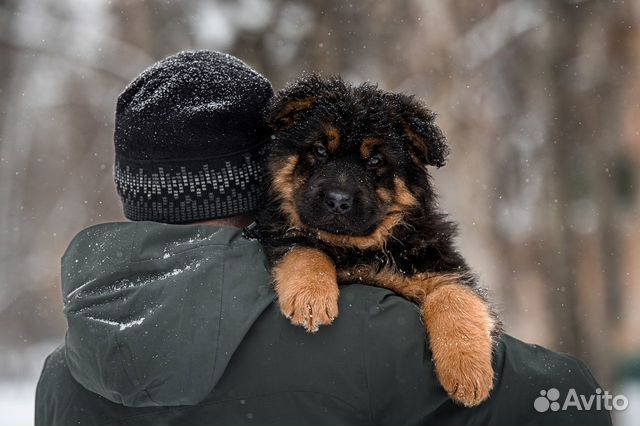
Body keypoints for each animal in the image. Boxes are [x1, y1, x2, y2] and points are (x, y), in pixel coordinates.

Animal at [251, 75, 500, 406]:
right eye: (319, 149)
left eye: (375, 160)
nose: (337, 201)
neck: (358, 250)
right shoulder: (279, 232)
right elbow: (306, 247)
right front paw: (310, 297)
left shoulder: (441, 265)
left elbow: (454, 297)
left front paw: (468, 372)